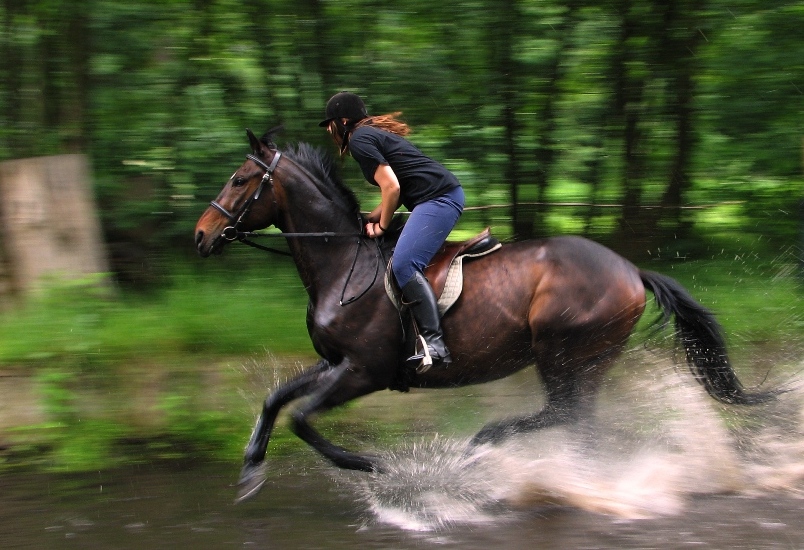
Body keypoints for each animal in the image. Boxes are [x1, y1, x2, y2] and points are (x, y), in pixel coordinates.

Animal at [193, 129, 772, 504]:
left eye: (240, 180)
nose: (200, 236)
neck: (342, 264)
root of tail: (630, 270)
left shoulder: (364, 371)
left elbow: (303, 419)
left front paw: (378, 467)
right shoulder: (336, 363)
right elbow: (276, 400)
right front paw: (251, 467)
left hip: (565, 353)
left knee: (566, 415)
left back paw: (483, 450)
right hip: (582, 360)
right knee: (575, 421)